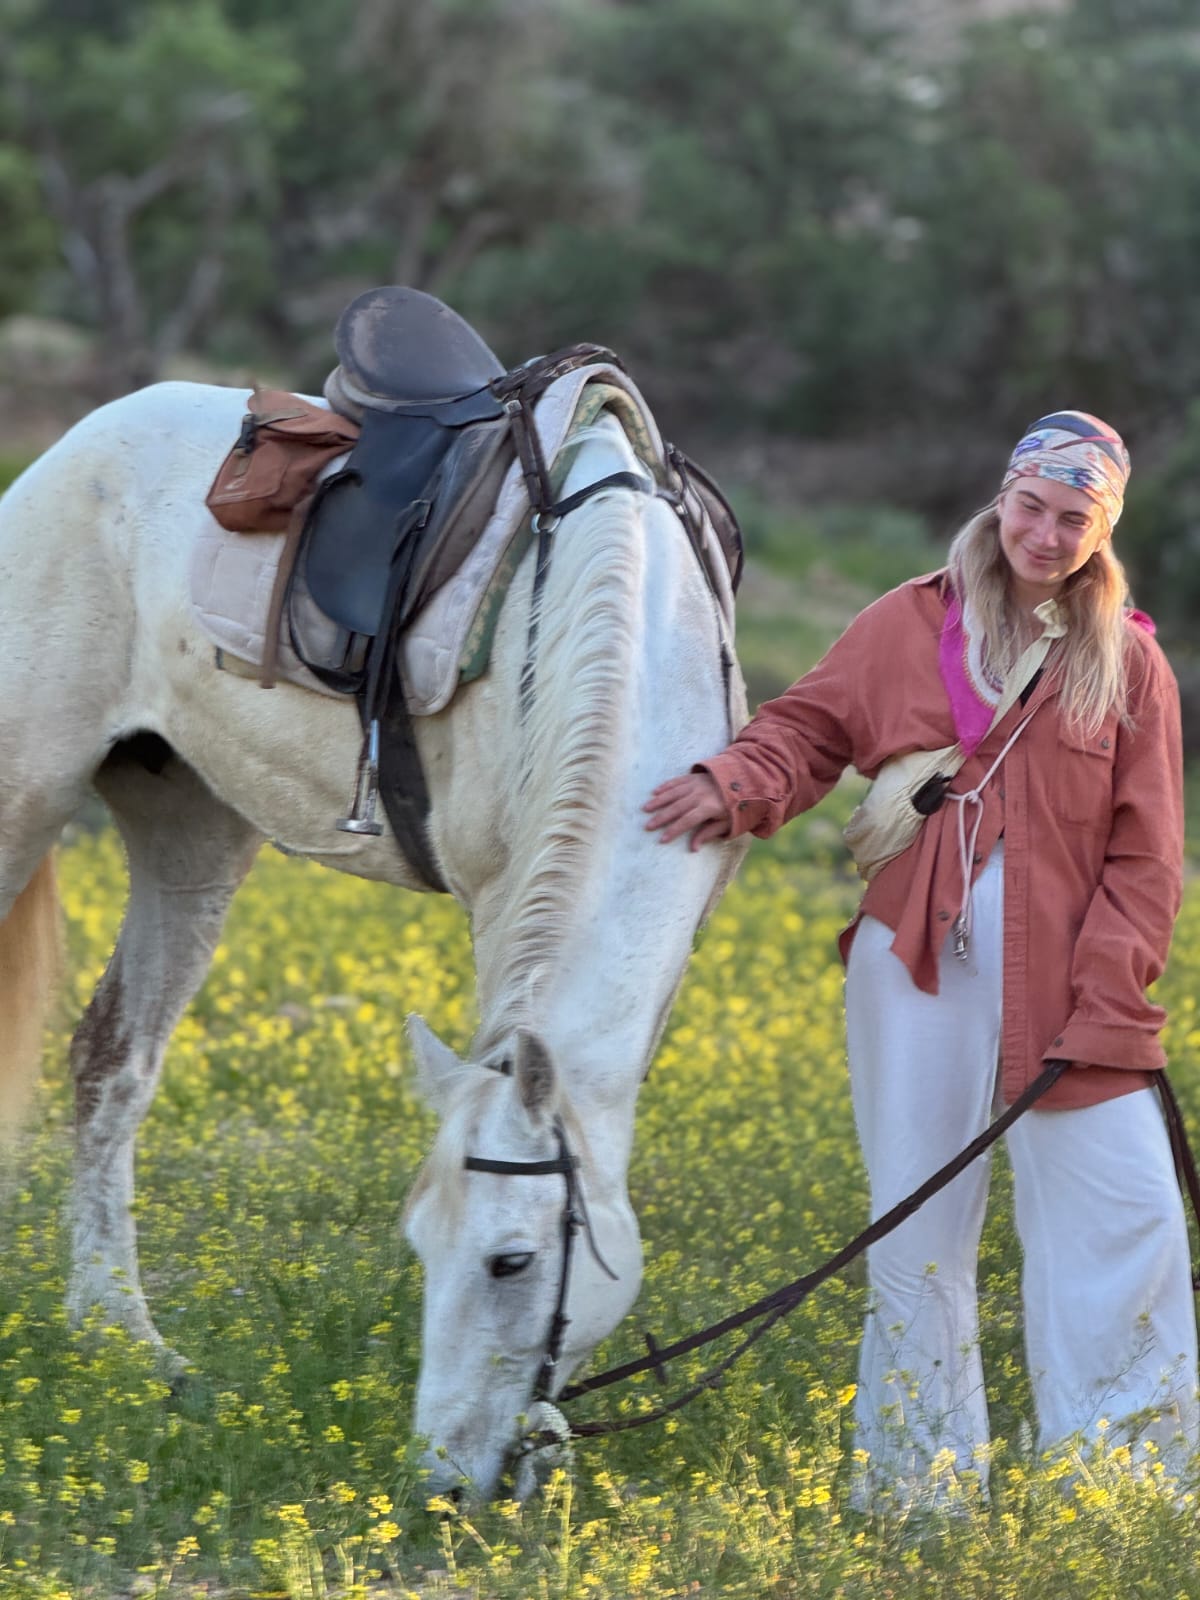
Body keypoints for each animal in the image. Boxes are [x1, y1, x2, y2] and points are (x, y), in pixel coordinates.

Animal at [0, 376, 746, 1499]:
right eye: (424, 1248)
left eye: (511, 1260)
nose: (441, 1484)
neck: (636, 629)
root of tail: (81, 440)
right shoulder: (501, 900)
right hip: (27, 792)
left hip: (192, 831)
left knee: (112, 1061)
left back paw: (119, 1335)